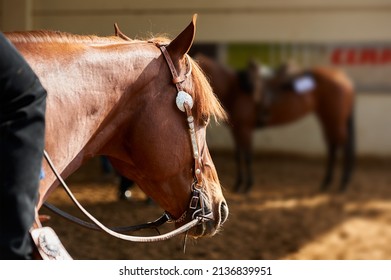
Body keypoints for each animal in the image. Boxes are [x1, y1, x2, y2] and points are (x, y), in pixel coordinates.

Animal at [196, 55, 356, 195]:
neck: (234, 90)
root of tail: (342, 79)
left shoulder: (245, 130)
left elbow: (247, 156)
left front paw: (248, 186)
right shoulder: (236, 131)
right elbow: (238, 155)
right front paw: (238, 184)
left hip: (335, 120)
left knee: (344, 146)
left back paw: (344, 183)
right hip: (327, 118)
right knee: (332, 147)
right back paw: (326, 183)